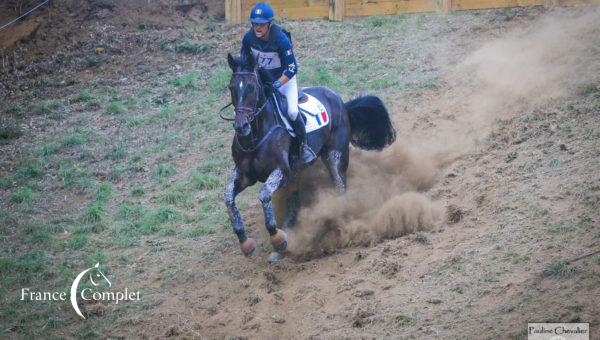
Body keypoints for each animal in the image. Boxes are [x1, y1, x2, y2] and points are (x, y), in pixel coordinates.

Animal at [223, 53, 396, 262]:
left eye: (252, 87)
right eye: (231, 87)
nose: (241, 126)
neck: (255, 136)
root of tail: (341, 102)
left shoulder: (281, 172)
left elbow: (264, 195)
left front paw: (278, 238)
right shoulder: (244, 175)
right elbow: (228, 198)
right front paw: (245, 242)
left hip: (335, 156)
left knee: (340, 187)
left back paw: (338, 224)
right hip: (304, 168)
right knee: (294, 200)